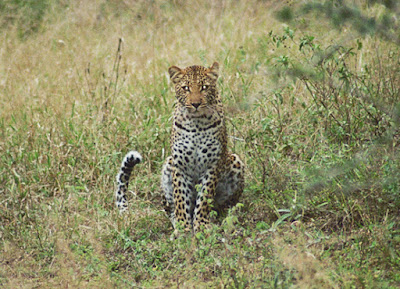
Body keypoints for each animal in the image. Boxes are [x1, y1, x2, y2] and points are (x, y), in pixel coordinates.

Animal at [114, 61, 242, 232]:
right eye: (186, 88)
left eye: (204, 87)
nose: (195, 104)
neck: (197, 123)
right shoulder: (180, 165)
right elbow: (180, 198)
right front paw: (183, 229)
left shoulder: (212, 165)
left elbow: (204, 199)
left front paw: (201, 225)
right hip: (168, 164)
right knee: (169, 209)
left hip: (235, 160)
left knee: (223, 207)